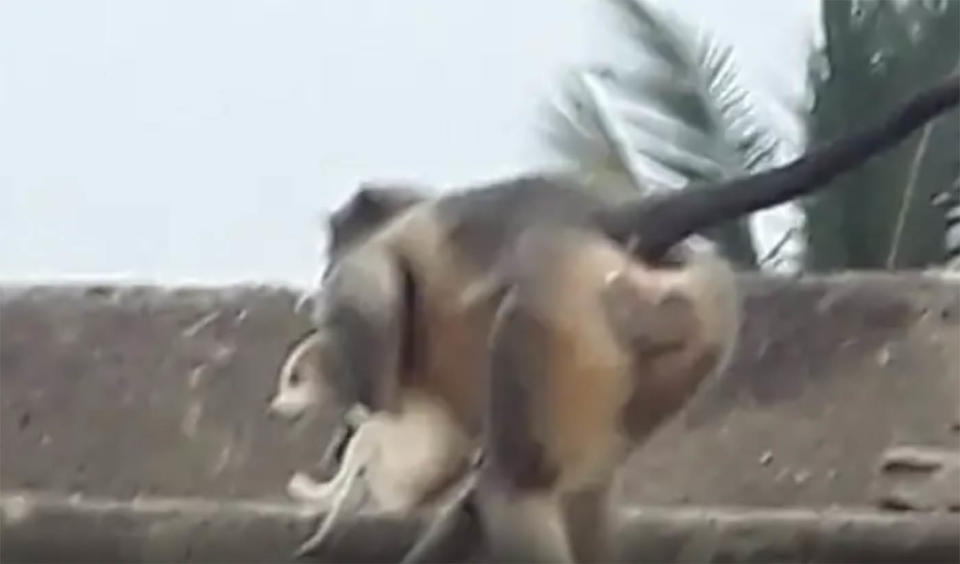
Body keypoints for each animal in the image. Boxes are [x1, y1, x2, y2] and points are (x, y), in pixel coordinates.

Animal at [282, 76, 956, 564]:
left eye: (334, 245)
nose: (321, 269)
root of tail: (615, 221)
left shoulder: (370, 272)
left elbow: (374, 314)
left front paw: (360, 412)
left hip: (557, 305)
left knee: (518, 490)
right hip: (692, 319)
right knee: (575, 488)